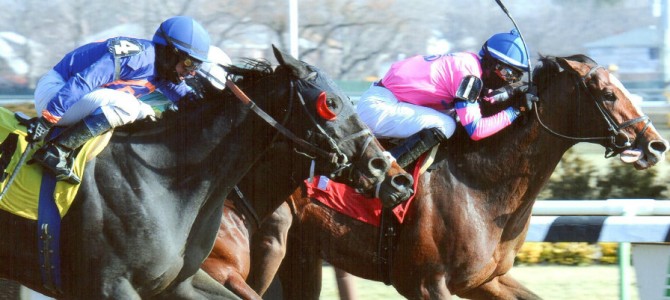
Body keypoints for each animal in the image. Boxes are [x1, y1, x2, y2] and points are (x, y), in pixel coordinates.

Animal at [201, 54, 670, 300]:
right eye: (607, 93)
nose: (654, 145)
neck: (481, 187)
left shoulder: (484, 279)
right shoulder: (428, 284)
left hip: (302, 255)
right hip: (270, 244)